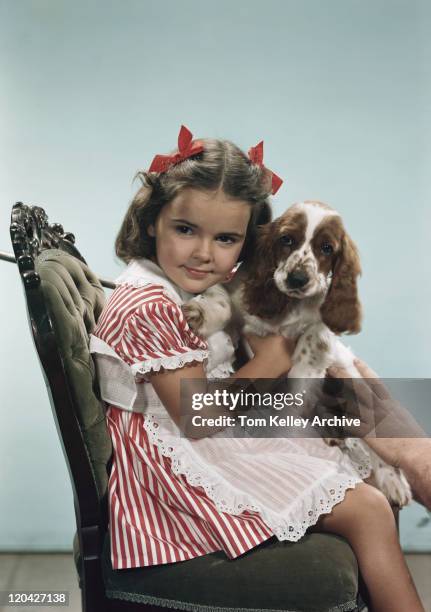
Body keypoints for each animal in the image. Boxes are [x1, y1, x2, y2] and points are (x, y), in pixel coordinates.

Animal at [185, 201, 412, 506]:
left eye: (327, 248)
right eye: (286, 239)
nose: (297, 278)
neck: (286, 304)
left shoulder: (323, 328)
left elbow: (312, 343)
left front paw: (298, 390)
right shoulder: (238, 299)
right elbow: (219, 302)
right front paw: (200, 319)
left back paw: (392, 479)